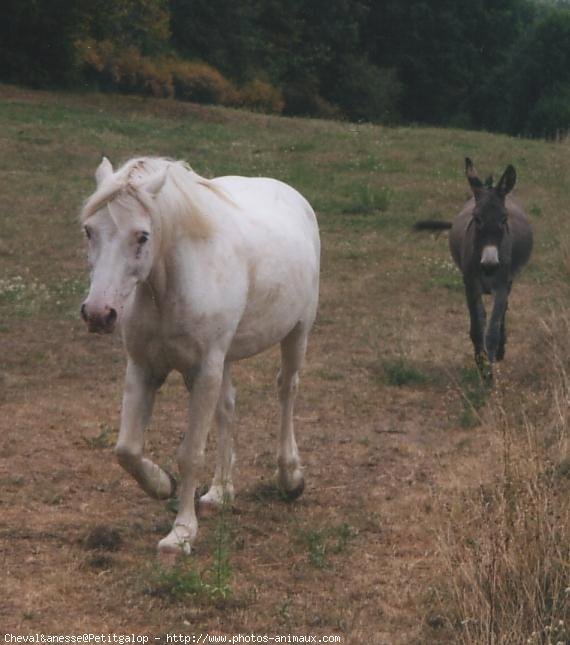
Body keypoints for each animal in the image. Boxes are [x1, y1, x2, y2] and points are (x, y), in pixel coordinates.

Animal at [80, 156, 320, 552]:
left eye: (142, 236)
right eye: (89, 231)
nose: (99, 314)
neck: (168, 286)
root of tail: (291, 194)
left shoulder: (204, 369)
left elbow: (190, 454)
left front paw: (180, 533)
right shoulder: (144, 367)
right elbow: (126, 449)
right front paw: (163, 485)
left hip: (297, 332)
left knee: (287, 389)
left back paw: (290, 478)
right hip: (224, 360)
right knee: (227, 408)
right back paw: (220, 492)